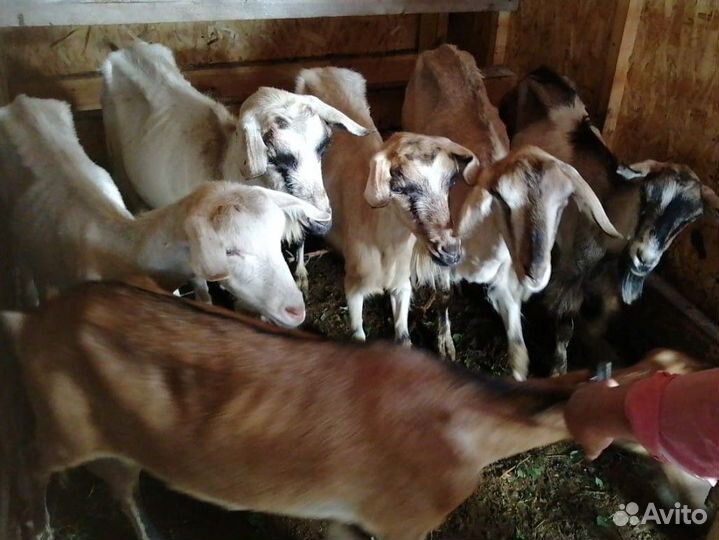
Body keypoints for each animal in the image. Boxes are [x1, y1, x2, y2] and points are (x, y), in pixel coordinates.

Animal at [0, 280, 697, 540]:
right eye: (663, 424)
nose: (702, 497)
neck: (466, 424)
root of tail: (32, 317)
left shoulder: (348, 518)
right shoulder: (400, 522)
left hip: (114, 437)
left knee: (120, 481)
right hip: (61, 425)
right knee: (29, 463)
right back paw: (37, 525)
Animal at [101, 40, 368, 294]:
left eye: (323, 145)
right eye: (274, 155)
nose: (323, 224)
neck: (223, 163)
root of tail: (128, 48)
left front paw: (301, 275)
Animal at [295, 67, 479, 344]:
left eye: (450, 181)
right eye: (400, 187)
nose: (450, 252)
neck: (385, 243)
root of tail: (320, 69)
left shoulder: (402, 286)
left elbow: (403, 338)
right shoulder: (354, 287)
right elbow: (358, 335)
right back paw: (301, 276)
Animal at [402, 45, 621, 379]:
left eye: (562, 204)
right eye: (503, 199)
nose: (536, 271)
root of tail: (444, 49)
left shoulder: (507, 283)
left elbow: (519, 352)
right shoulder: (444, 257)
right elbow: (444, 297)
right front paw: (445, 344)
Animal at [499, 67, 719, 374]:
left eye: (688, 220)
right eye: (646, 197)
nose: (644, 259)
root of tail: (543, 72)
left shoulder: (607, 275)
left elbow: (607, 311)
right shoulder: (574, 267)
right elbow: (565, 321)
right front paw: (558, 368)